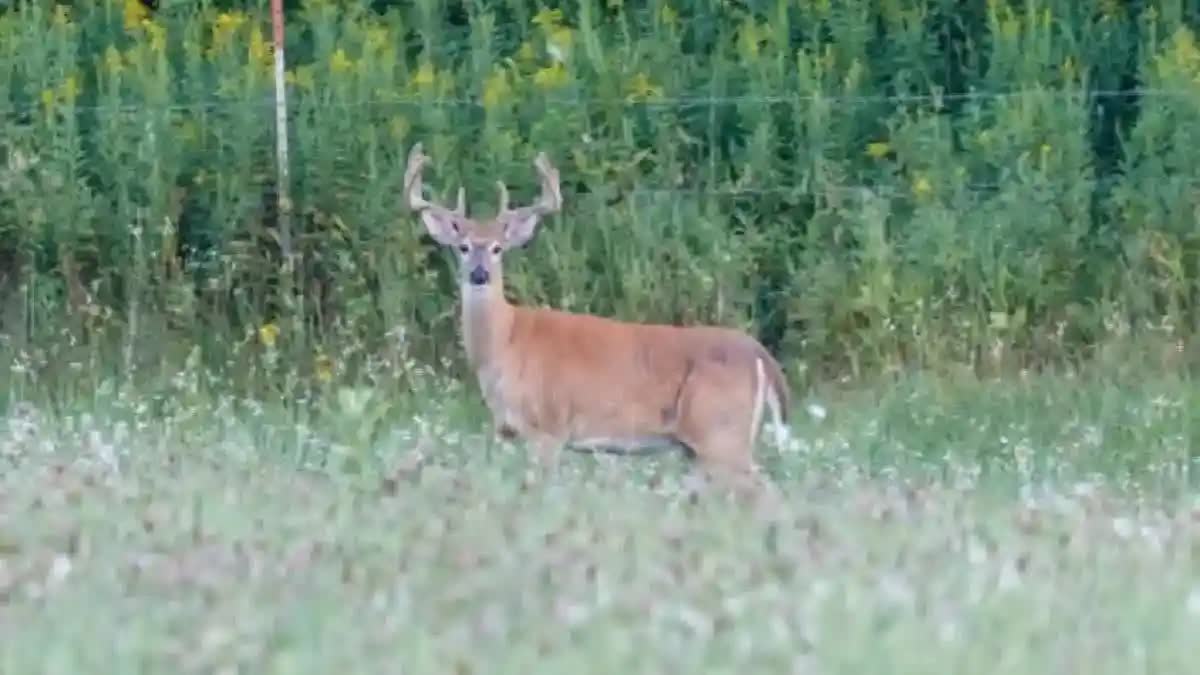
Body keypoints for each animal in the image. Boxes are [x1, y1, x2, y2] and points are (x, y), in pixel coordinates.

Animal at [403, 141, 792, 492]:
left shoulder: (549, 426)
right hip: (702, 447)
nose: (479, 274)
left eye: (498, 248)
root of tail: (761, 356)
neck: (505, 343)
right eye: (463, 247)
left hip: (721, 433)